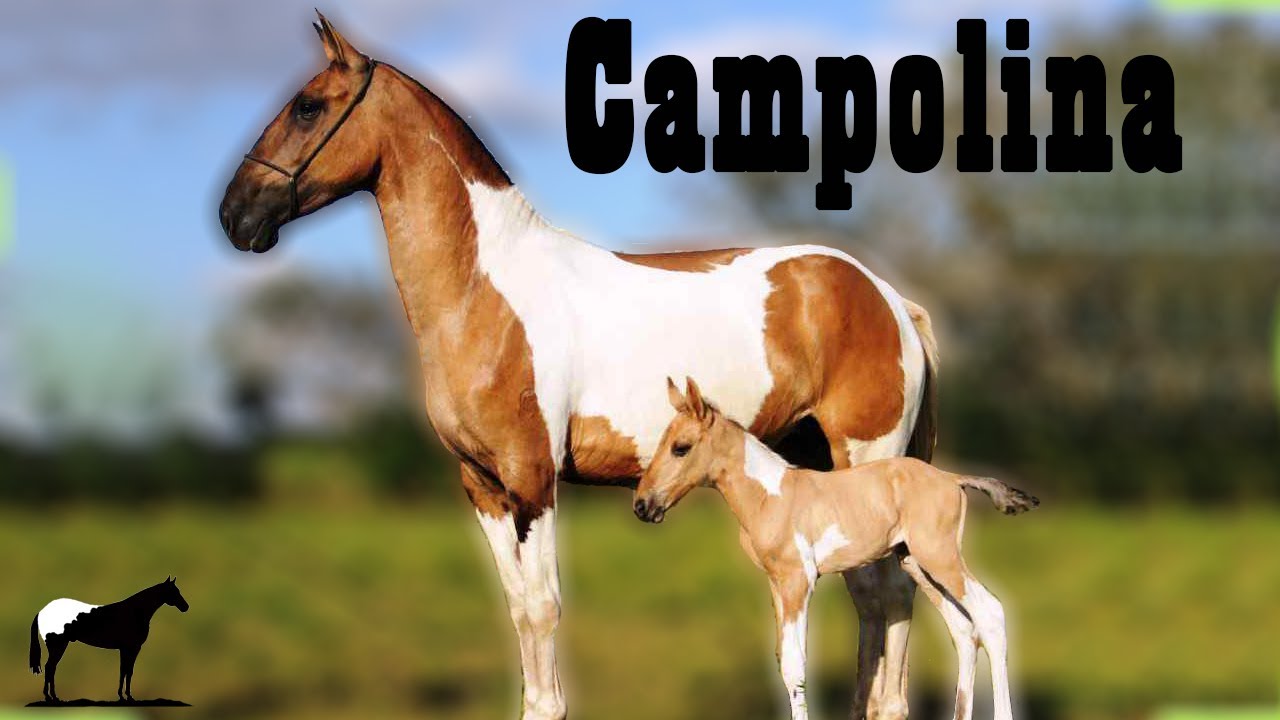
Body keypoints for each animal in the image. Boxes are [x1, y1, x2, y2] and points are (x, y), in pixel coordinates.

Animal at [29, 576, 189, 703]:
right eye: (174, 592)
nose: (186, 607)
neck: (135, 611)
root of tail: (43, 611)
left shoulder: (126, 649)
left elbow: (124, 670)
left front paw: (123, 696)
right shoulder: (132, 648)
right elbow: (128, 671)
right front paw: (127, 696)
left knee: (51, 668)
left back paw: (52, 697)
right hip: (58, 646)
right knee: (50, 667)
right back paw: (51, 697)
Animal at [218, 14, 939, 720]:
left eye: (309, 107)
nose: (234, 213)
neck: (484, 287)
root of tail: (887, 295)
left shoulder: (532, 477)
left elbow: (543, 610)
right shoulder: (482, 484)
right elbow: (518, 609)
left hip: (866, 457)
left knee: (891, 593)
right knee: (870, 594)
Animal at [636, 379, 1038, 720]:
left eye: (681, 448)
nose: (643, 505)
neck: (771, 494)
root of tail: (951, 478)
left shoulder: (799, 580)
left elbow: (796, 665)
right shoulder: (777, 584)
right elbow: (784, 663)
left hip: (940, 557)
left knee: (990, 613)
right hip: (917, 564)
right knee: (964, 630)